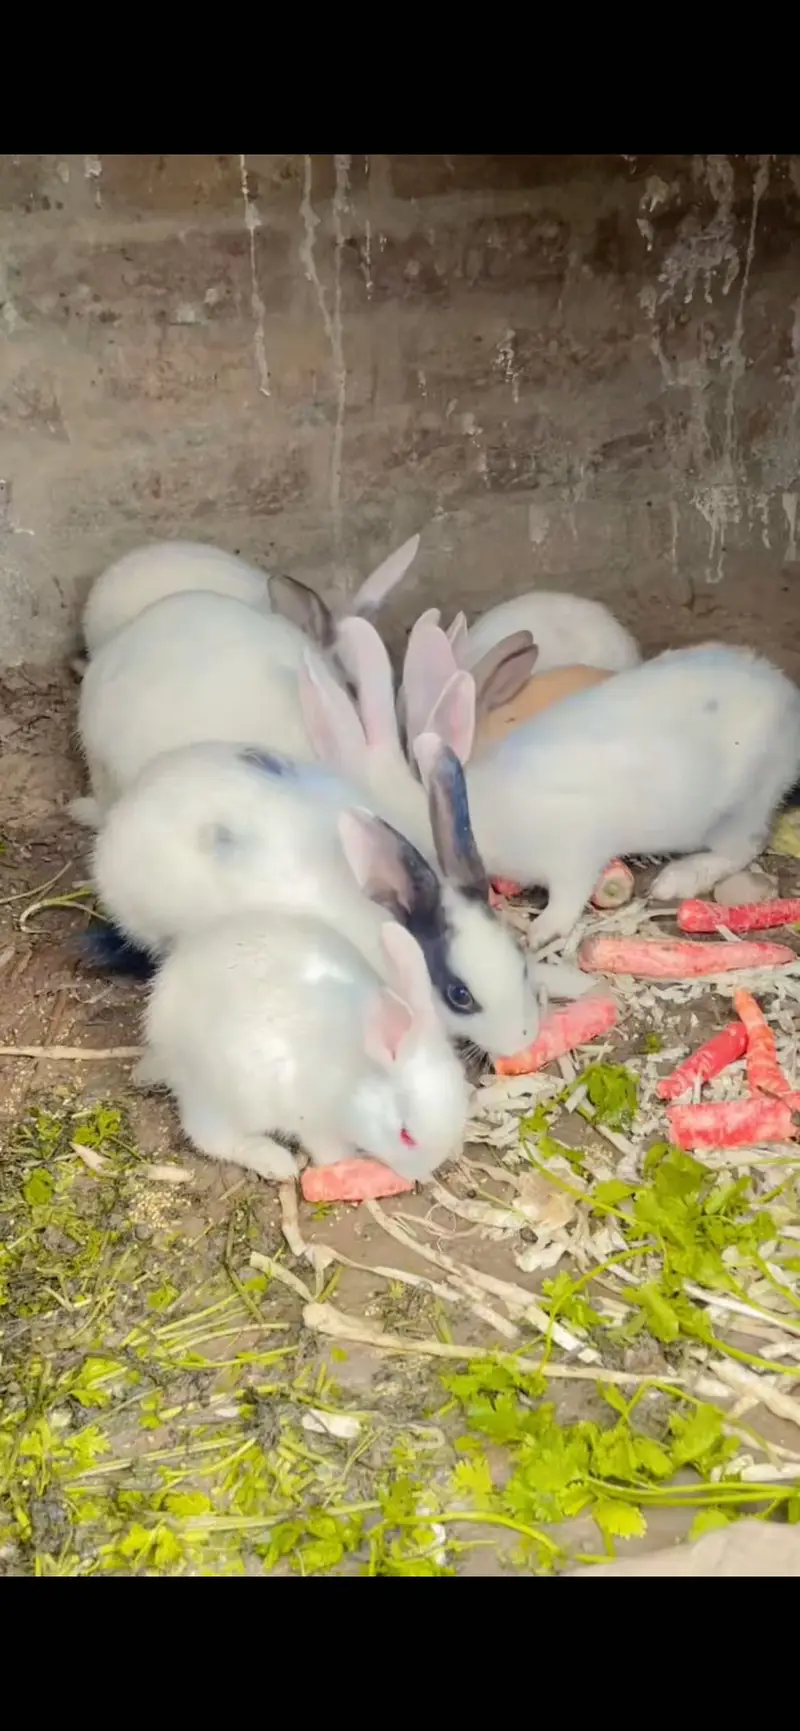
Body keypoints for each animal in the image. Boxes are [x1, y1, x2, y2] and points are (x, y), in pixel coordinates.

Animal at [141, 912, 470, 1183]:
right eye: (406, 1136)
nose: (419, 1173)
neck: (357, 1073)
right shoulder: (316, 1122)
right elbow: (330, 1152)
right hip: (228, 1095)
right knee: (211, 1137)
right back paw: (276, 1161)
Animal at [408, 642, 800, 951]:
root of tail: (788, 703)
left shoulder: (571, 854)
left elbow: (567, 897)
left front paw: (540, 933)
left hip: (740, 808)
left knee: (743, 846)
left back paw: (674, 880)